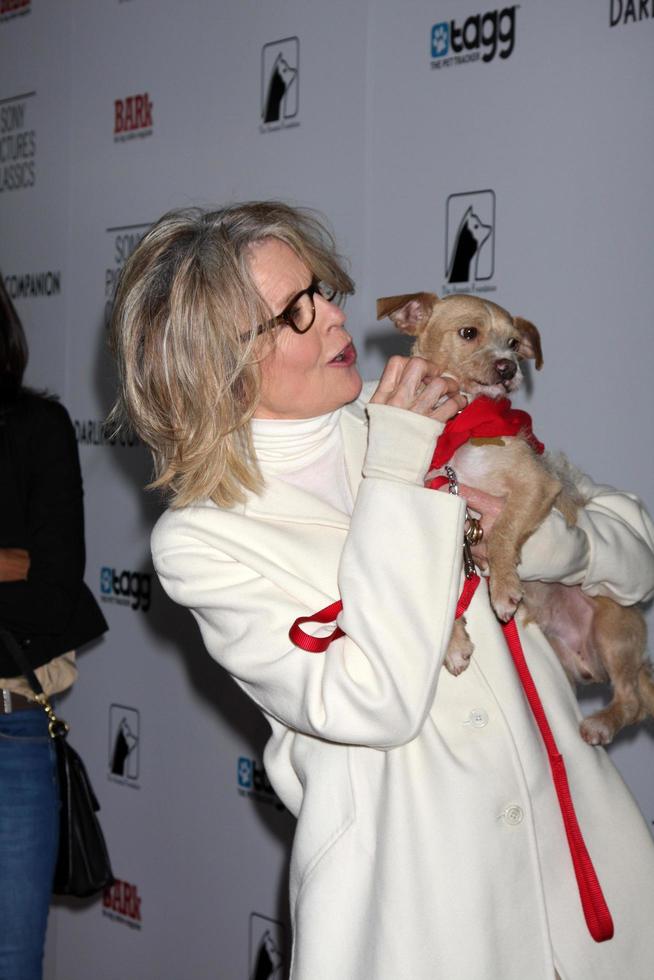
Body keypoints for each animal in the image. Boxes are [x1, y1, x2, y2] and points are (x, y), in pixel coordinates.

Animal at [380, 290, 654, 744]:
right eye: (468, 333)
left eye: (513, 343)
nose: (509, 368)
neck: (461, 424)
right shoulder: (439, 515)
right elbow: (444, 591)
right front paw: (453, 642)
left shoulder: (537, 486)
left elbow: (504, 531)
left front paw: (504, 587)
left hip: (611, 630)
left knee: (634, 701)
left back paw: (601, 721)